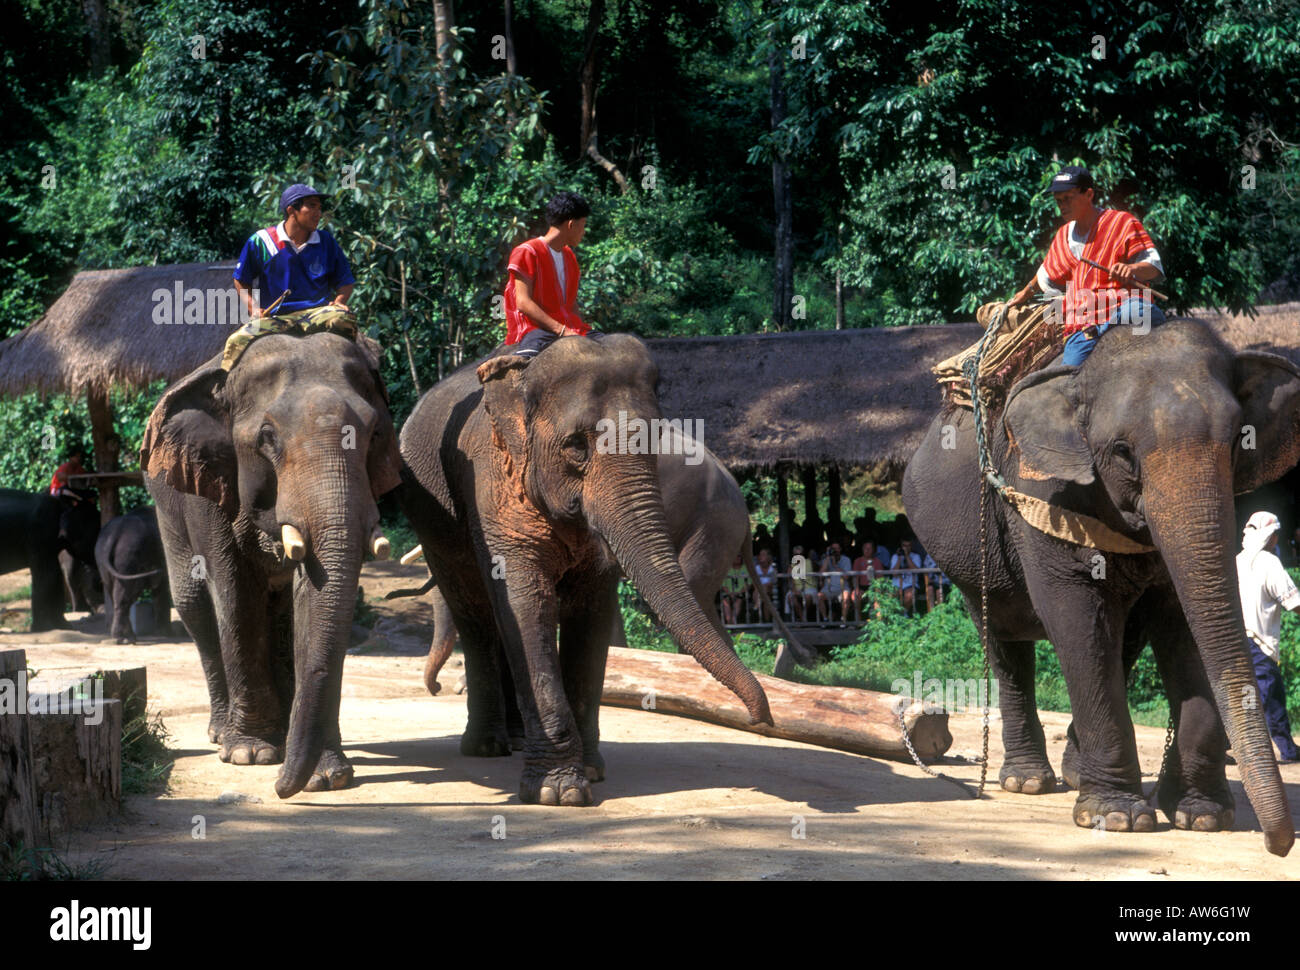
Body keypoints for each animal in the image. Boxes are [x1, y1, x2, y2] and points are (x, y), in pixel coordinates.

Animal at [0, 487, 100, 631]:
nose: (98, 583)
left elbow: (55, 575)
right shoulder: (39, 533)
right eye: (97, 533)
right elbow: (47, 575)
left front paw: (65, 627)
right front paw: (43, 629)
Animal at [95, 506, 170, 644]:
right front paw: (166, 634)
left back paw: (129, 638)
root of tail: (115, 533)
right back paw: (121, 639)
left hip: (103, 559)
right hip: (128, 556)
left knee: (119, 594)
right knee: (125, 595)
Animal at [140, 331, 402, 797]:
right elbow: (234, 591)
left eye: (374, 433)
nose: (281, 790)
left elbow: (306, 599)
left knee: (275, 610)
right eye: (267, 437)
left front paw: (328, 777)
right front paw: (251, 755)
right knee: (193, 603)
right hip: (164, 497)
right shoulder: (209, 484)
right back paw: (223, 734)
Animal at [398, 335, 773, 806]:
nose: (762, 720)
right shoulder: (492, 481)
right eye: (576, 446)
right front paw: (558, 792)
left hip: (713, 525)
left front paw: (589, 773)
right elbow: (526, 604)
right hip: (434, 516)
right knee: (474, 611)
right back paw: (487, 747)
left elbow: (592, 610)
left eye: (654, 440)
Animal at [903, 318, 1298, 856]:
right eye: (1123, 452)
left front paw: (1201, 816)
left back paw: (1073, 772)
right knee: (1004, 639)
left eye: (1239, 440)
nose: (1281, 845)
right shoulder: (1043, 493)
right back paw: (1027, 781)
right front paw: (1117, 817)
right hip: (966, 557)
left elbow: (1184, 621)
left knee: (1123, 640)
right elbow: (1076, 619)